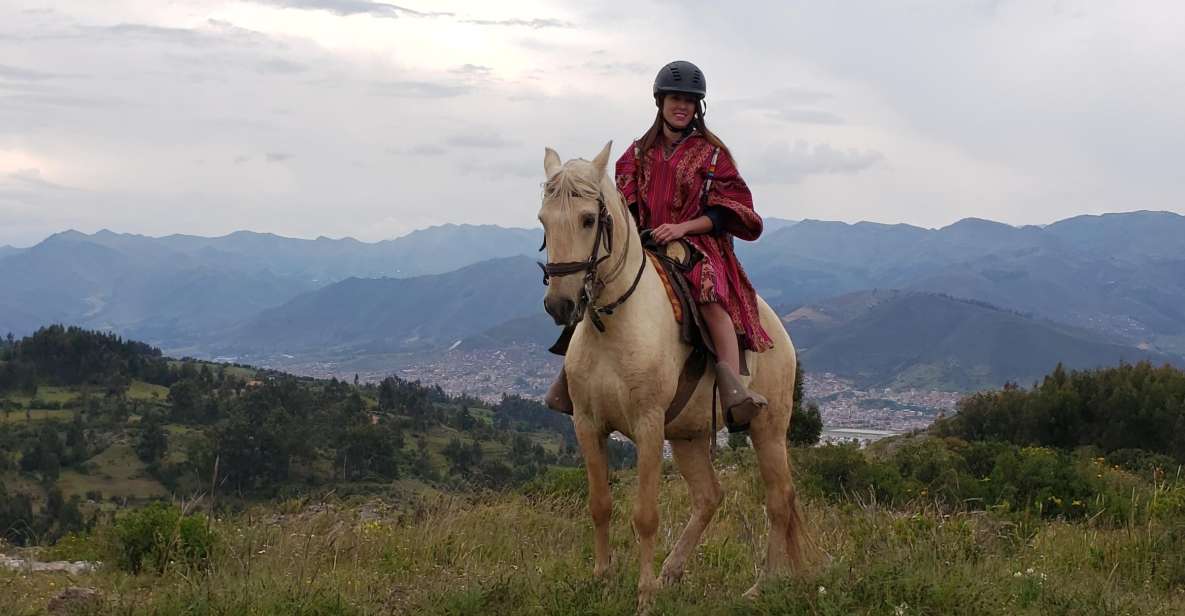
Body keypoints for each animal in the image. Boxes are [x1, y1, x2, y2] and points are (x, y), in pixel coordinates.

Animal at [540, 142, 805, 606]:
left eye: (588, 219)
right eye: (542, 220)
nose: (560, 304)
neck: (616, 326)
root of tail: (778, 332)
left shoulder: (647, 426)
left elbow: (645, 515)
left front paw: (644, 595)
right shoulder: (588, 424)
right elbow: (600, 504)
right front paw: (602, 579)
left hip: (769, 427)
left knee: (779, 499)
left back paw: (763, 584)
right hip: (687, 436)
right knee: (709, 496)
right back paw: (672, 571)